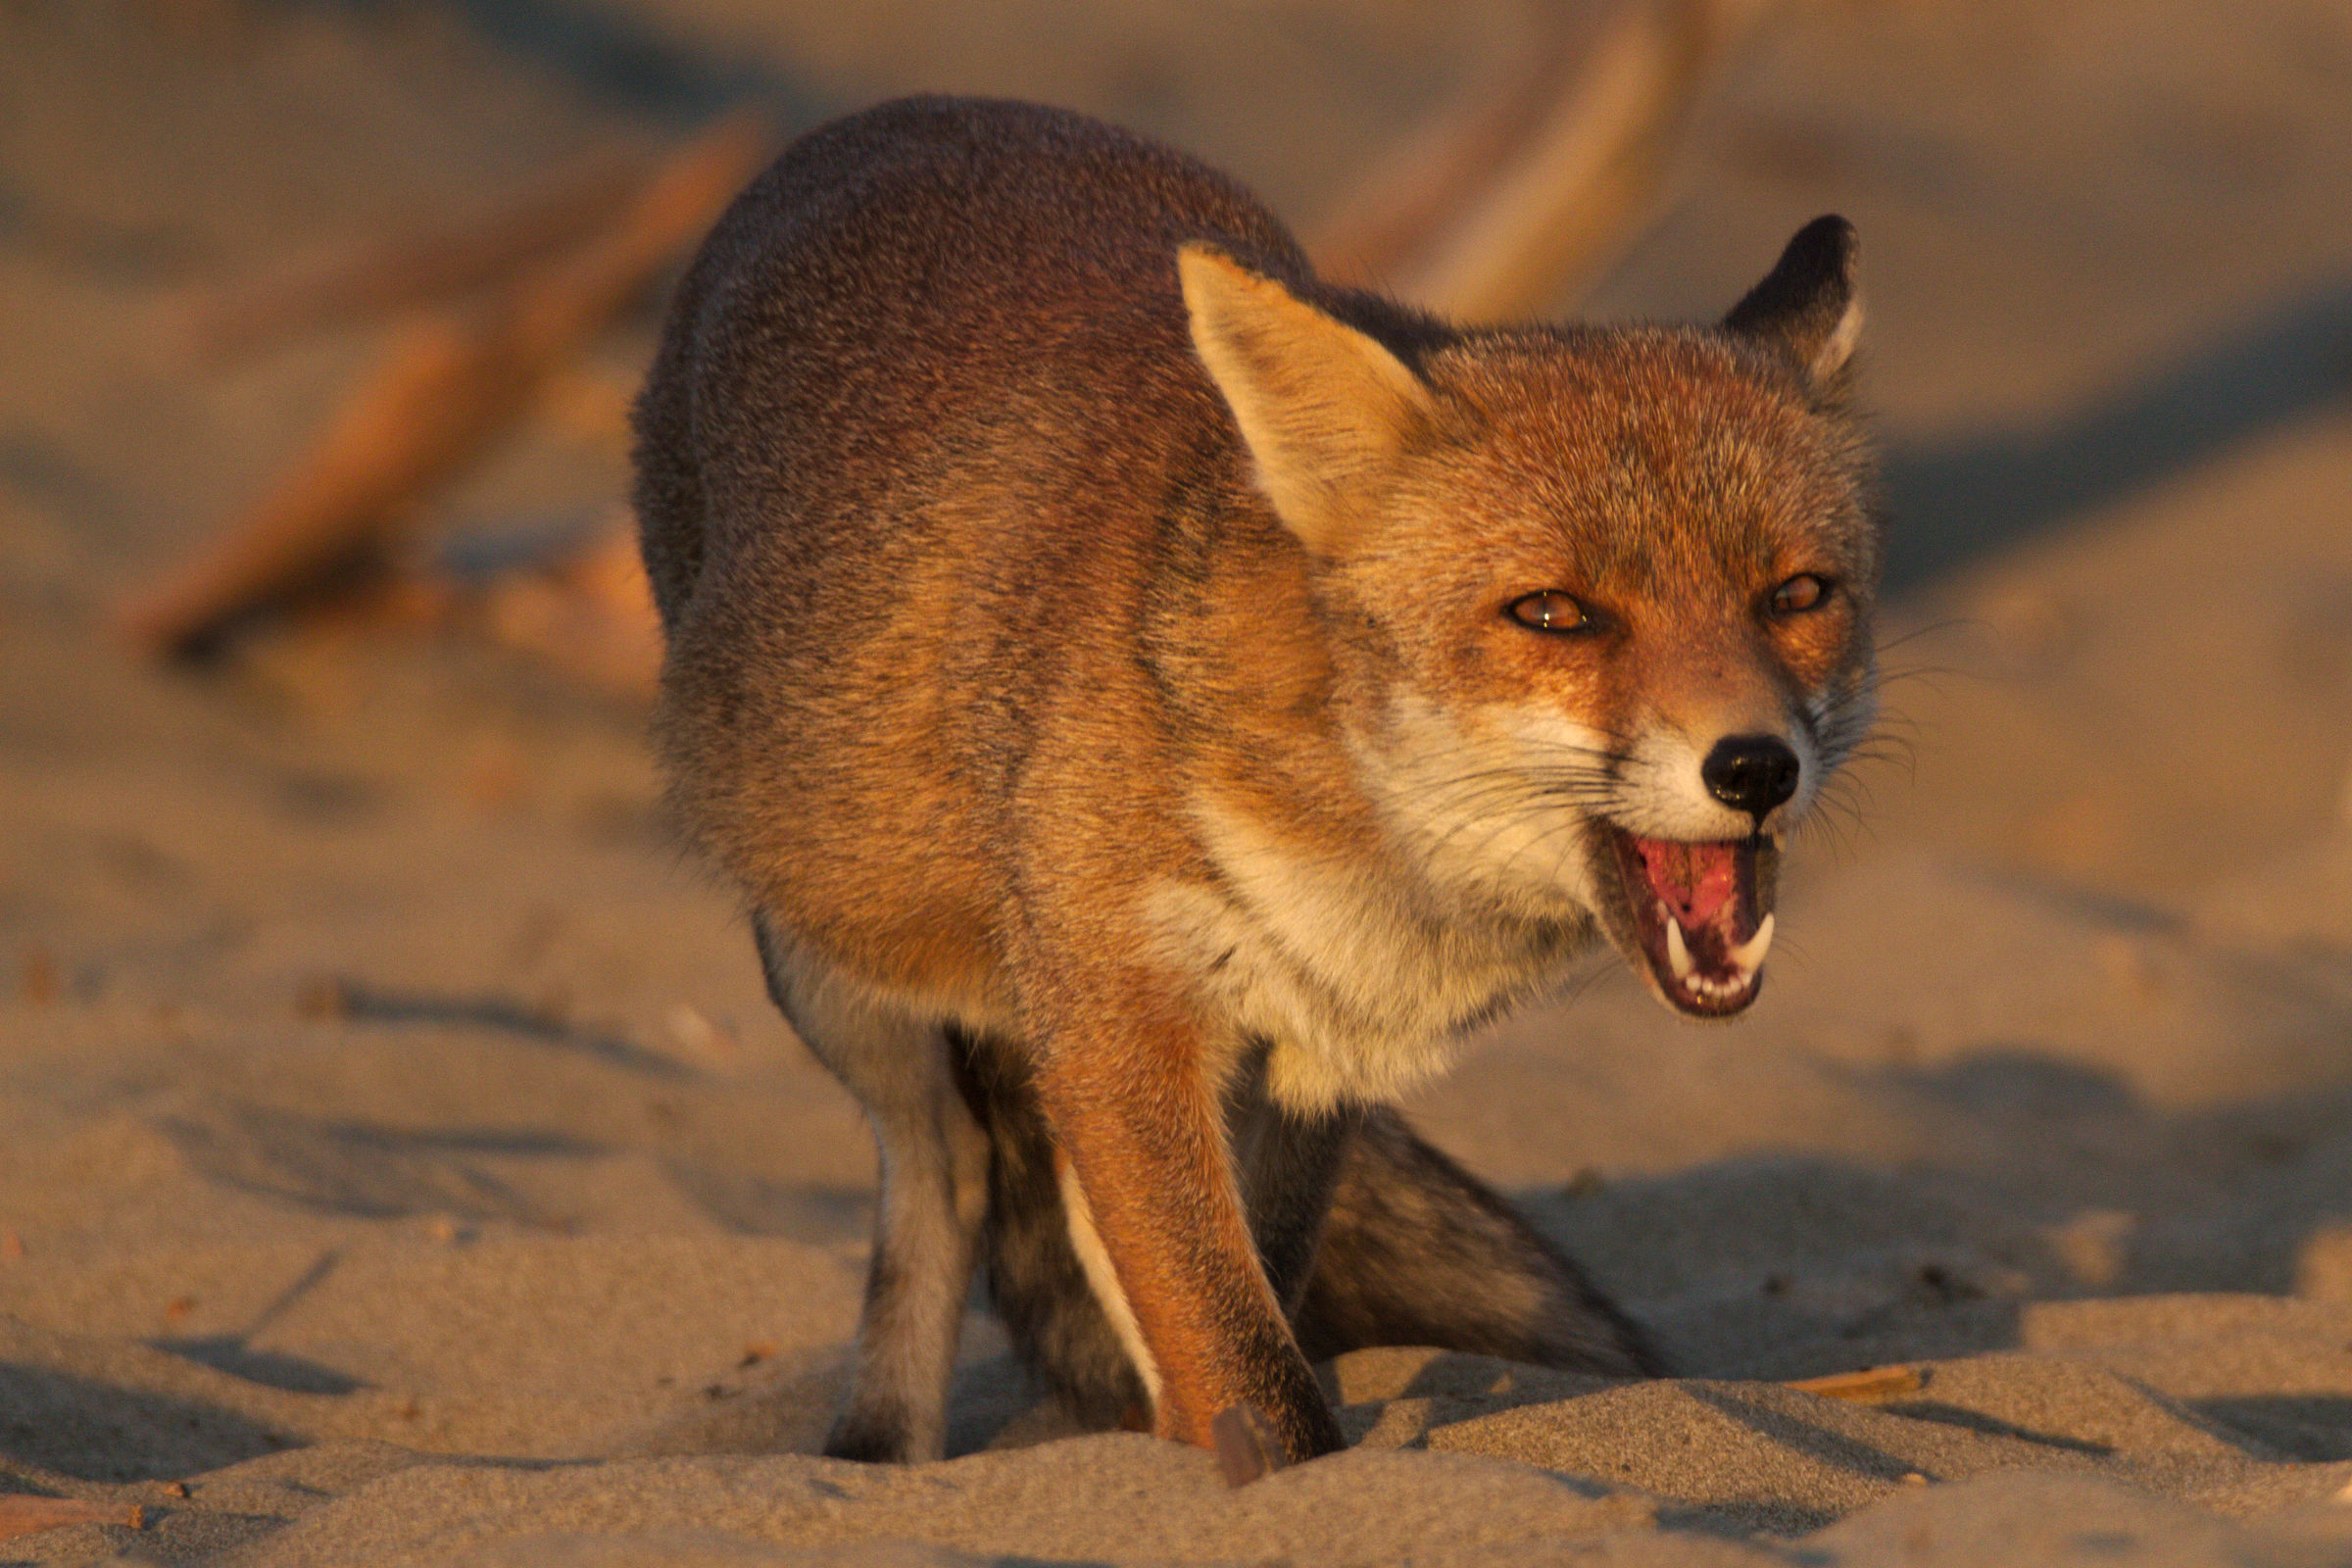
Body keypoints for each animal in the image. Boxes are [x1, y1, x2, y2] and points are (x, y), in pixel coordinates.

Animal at [633, 96, 1877, 1472]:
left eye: (1797, 594)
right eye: (1555, 613)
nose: (1755, 765)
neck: (1349, 836)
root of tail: (898, 115)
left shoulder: (1311, 1061)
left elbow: (1246, 1316)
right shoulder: (1120, 1027)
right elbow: (1249, 1362)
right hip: (832, 975)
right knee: (943, 1176)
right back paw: (881, 1444)